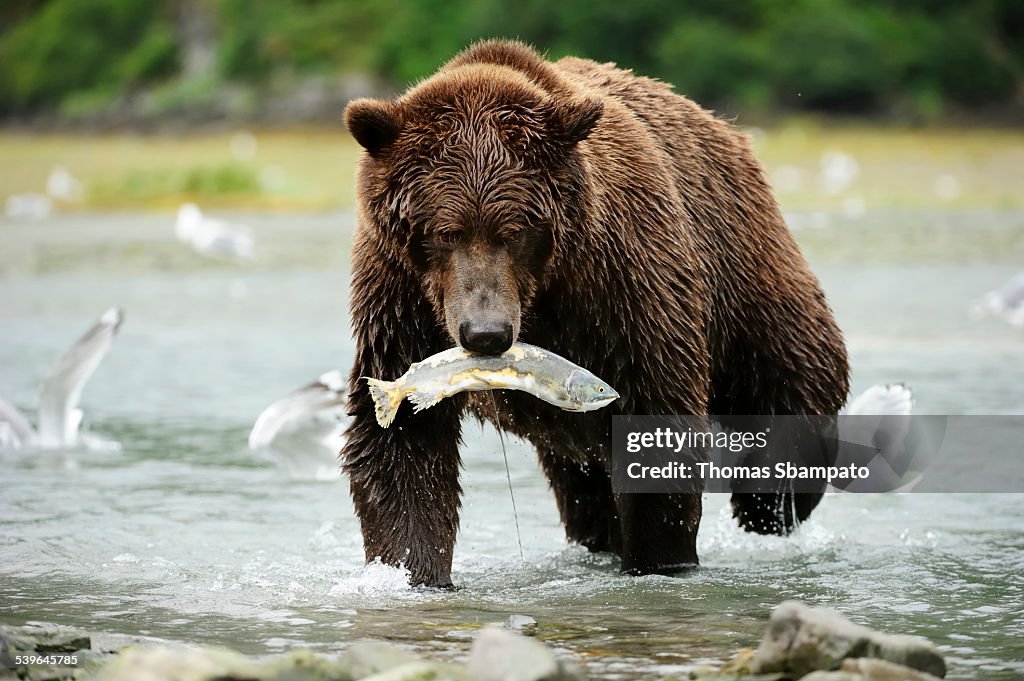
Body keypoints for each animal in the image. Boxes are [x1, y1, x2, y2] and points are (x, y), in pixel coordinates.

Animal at [339, 39, 843, 585]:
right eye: (445, 231)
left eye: (514, 230)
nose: (485, 333)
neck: (542, 292)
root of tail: (721, 126)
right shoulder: (400, 301)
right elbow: (404, 445)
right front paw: (411, 570)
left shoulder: (622, 284)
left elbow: (657, 421)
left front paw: (659, 559)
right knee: (583, 486)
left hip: (745, 272)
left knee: (793, 384)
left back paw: (768, 506)